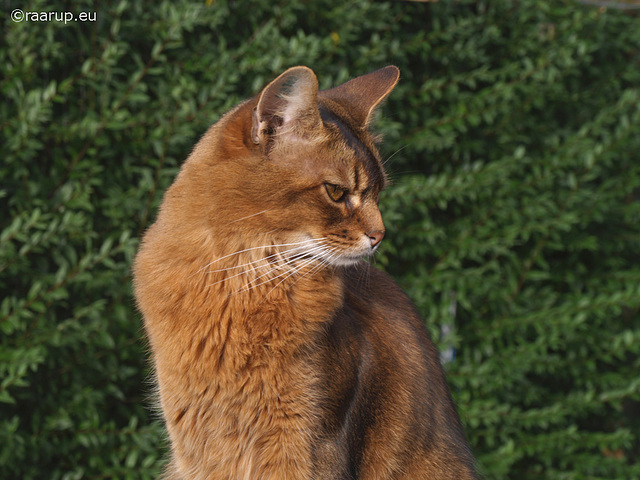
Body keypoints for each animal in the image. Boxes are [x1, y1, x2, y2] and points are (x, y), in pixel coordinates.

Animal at [134, 64, 476, 480]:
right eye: (336, 191)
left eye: (378, 193)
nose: (380, 235)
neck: (239, 280)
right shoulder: (199, 448)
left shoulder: (306, 445)